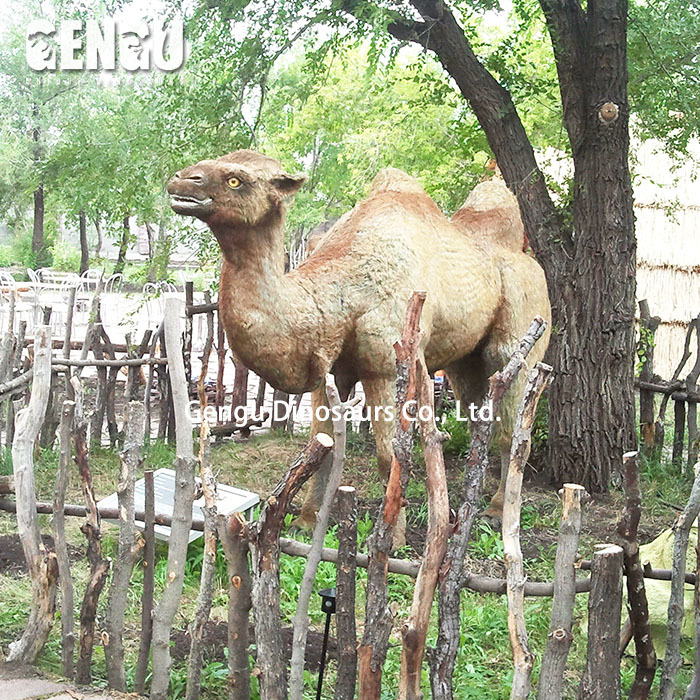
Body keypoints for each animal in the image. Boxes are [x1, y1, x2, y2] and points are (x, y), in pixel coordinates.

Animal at [167, 149, 551, 529]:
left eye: (236, 179)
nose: (180, 179)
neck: (342, 289)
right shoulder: (329, 372)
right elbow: (323, 446)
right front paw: (307, 521)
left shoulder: (385, 366)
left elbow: (389, 456)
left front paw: (393, 538)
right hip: (463, 360)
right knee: (478, 416)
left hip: (521, 331)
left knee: (512, 428)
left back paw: (498, 510)